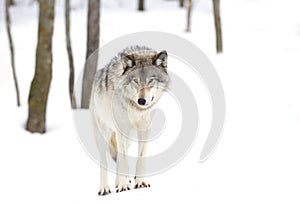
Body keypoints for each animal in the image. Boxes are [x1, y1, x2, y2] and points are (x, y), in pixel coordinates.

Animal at [89, 45, 170, 195]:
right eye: (135, 81)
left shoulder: (144, 128)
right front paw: (123, 185)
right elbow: (124, 159)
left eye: (151, 80)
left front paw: (140, 182)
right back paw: (105, 188)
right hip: (103, 134)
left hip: (128, 137)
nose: (142, 100)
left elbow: (140, 157)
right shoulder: (121, 128)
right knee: (105, 161)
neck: (136, 109)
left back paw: (118, 182)